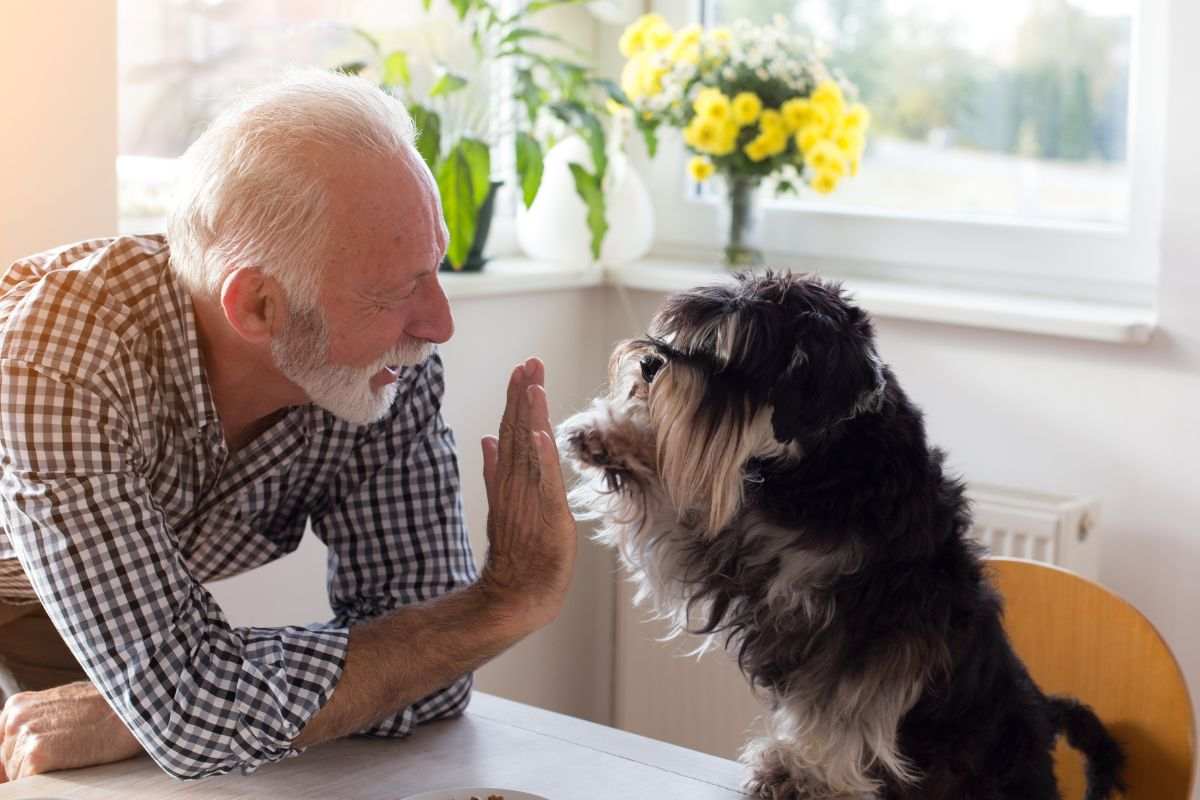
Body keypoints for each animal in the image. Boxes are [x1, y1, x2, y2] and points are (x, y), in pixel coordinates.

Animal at [559, 275, 1123, 800]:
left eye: (734, 355)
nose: (650, 363)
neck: (825, 463)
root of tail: (1045, 718)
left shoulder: (870, 629)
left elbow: (841, 709)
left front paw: (802, 775)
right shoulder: (733, 551)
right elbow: (675, 508)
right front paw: (608, 435)